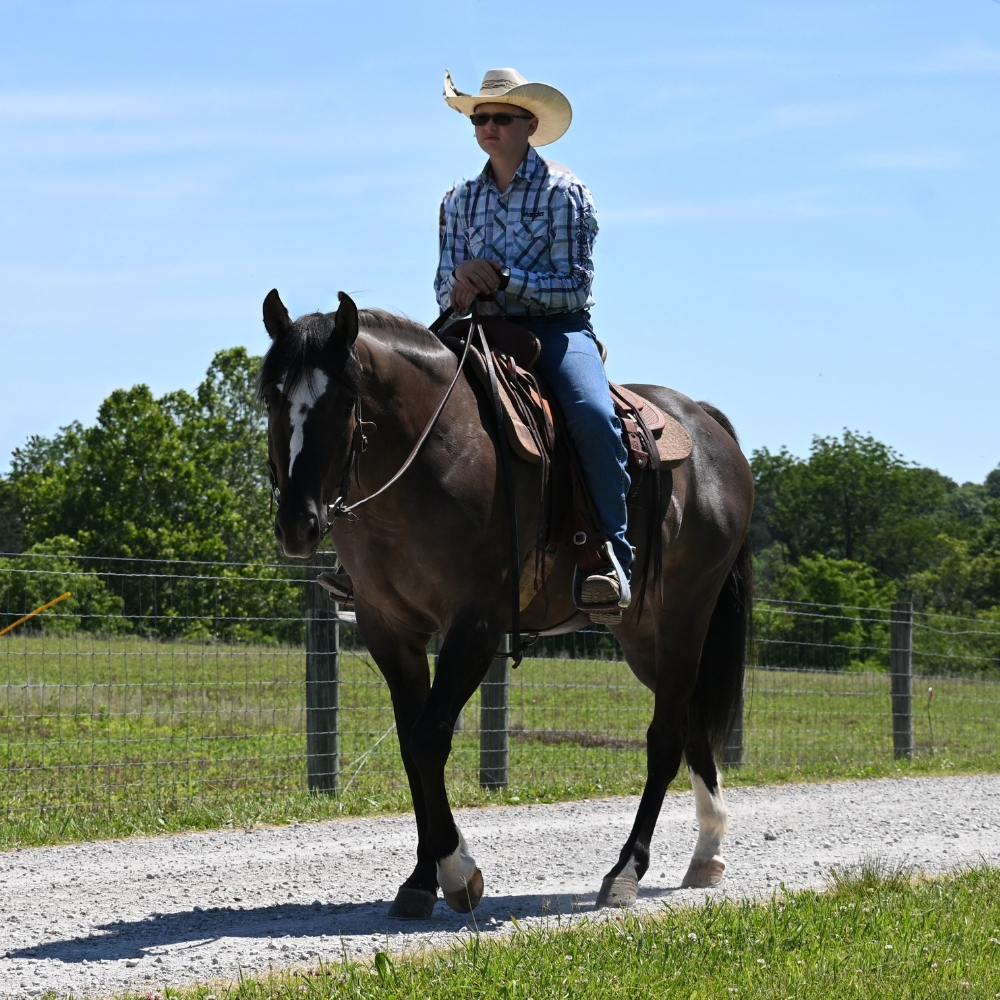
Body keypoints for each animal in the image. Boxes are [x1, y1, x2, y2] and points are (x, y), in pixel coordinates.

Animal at [259, 289, 754, 917]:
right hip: (645, 635)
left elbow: (430, 737)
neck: (434, 453)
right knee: (687, 720)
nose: (297, 525)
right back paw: (707, 851)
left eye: (345, 399)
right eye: (271, 396)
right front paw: (420, 879)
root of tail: (708, 425)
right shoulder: (387, 627)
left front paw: (457, 872)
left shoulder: (476, 624)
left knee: (664, 738)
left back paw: (626, 871)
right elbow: (412, 744)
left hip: (687, 614)